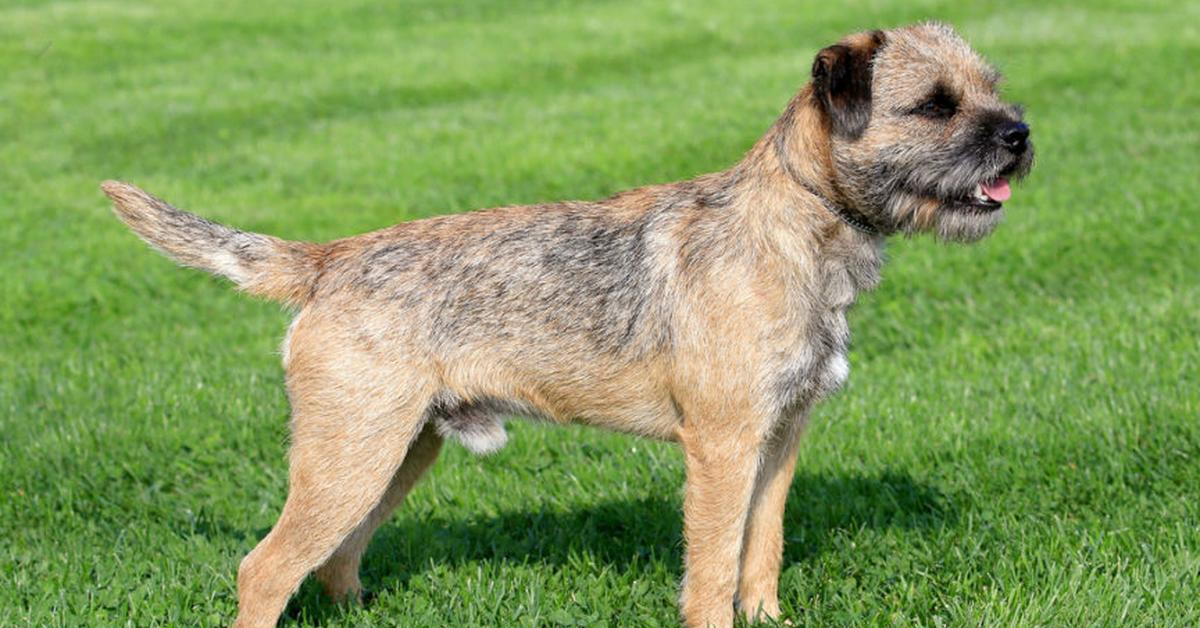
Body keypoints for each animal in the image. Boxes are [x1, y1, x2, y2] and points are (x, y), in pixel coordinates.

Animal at [105, 20, 1032, 628]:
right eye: (935, 106)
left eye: (990, 87)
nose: (1021, 135)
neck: (795, 227)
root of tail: (329, 259)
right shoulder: (723, 446)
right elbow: (712, 568)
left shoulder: (780, 440)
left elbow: (759, 551)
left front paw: (767, 615)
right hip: (352, 453)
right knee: (265, 569)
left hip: (398, 450)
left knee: (335, 556)